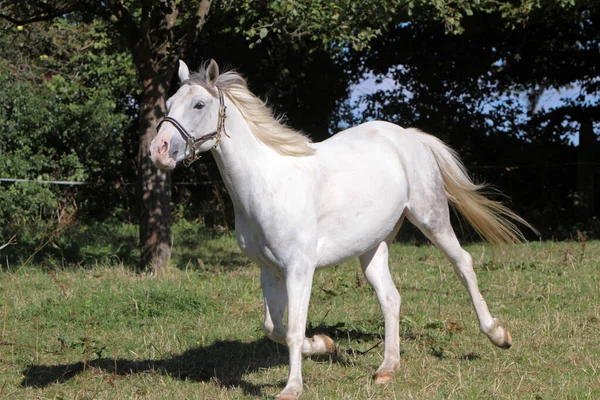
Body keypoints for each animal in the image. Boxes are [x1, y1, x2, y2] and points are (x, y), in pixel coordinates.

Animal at [151, 60, 536, 400]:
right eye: (168, 104)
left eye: (199, 104)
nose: (159, 150)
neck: (267, 184)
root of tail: (408, 136)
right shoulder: (269, 271)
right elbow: (274, 328)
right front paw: (324, 345)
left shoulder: (299, 269)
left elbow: (293, 330)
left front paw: (292, 388)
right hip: (373, 247)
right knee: (391, 298)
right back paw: (387, 369)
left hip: (432, 217)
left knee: (463, 265)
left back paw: (498, 335)